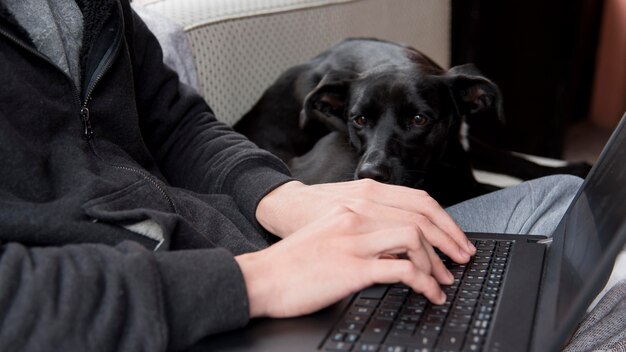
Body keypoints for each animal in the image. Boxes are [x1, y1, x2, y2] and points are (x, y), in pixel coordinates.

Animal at [235, 37, 588, 206]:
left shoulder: (462, 139)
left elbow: (517, 160)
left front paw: (577, 167)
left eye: (419, 119)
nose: (371, 175)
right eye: (358, 119)